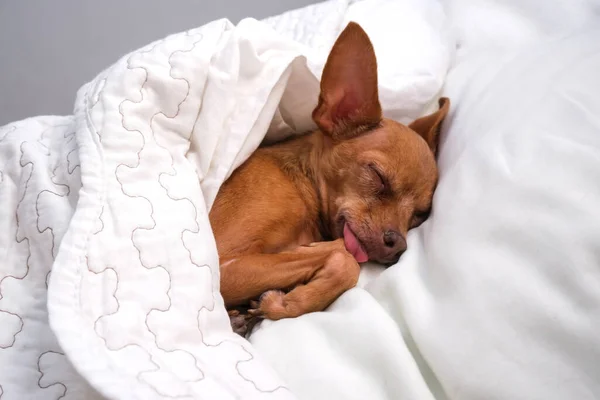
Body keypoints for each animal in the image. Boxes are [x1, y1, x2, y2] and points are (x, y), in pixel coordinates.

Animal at [209, 21, 448, 334]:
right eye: (378, 176)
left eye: (420, 214)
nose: (399, 246)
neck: (303, 187)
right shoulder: (223, 264)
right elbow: (346, 259)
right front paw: (283, 303)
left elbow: (342, 259)